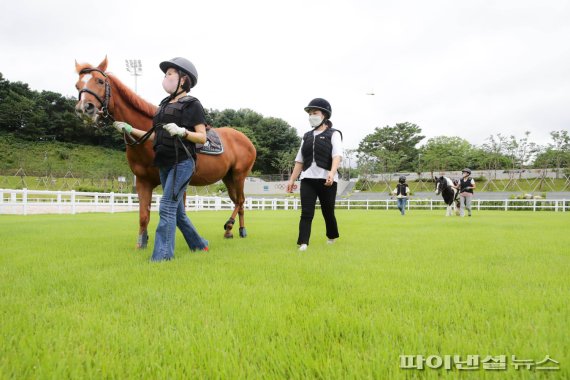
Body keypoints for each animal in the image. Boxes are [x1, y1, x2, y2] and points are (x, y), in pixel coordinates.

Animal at [75, 56, 255, 246]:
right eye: (77, 86)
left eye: (100, 81)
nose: (84, 108)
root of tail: (246, 140)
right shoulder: (143, 181)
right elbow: (144, 216)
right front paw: (142, 242)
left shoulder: (177, 182)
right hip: (227, 177)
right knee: (237, 201)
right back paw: (234, 230)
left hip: (239, 175)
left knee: (240, 201)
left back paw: (233, 227)